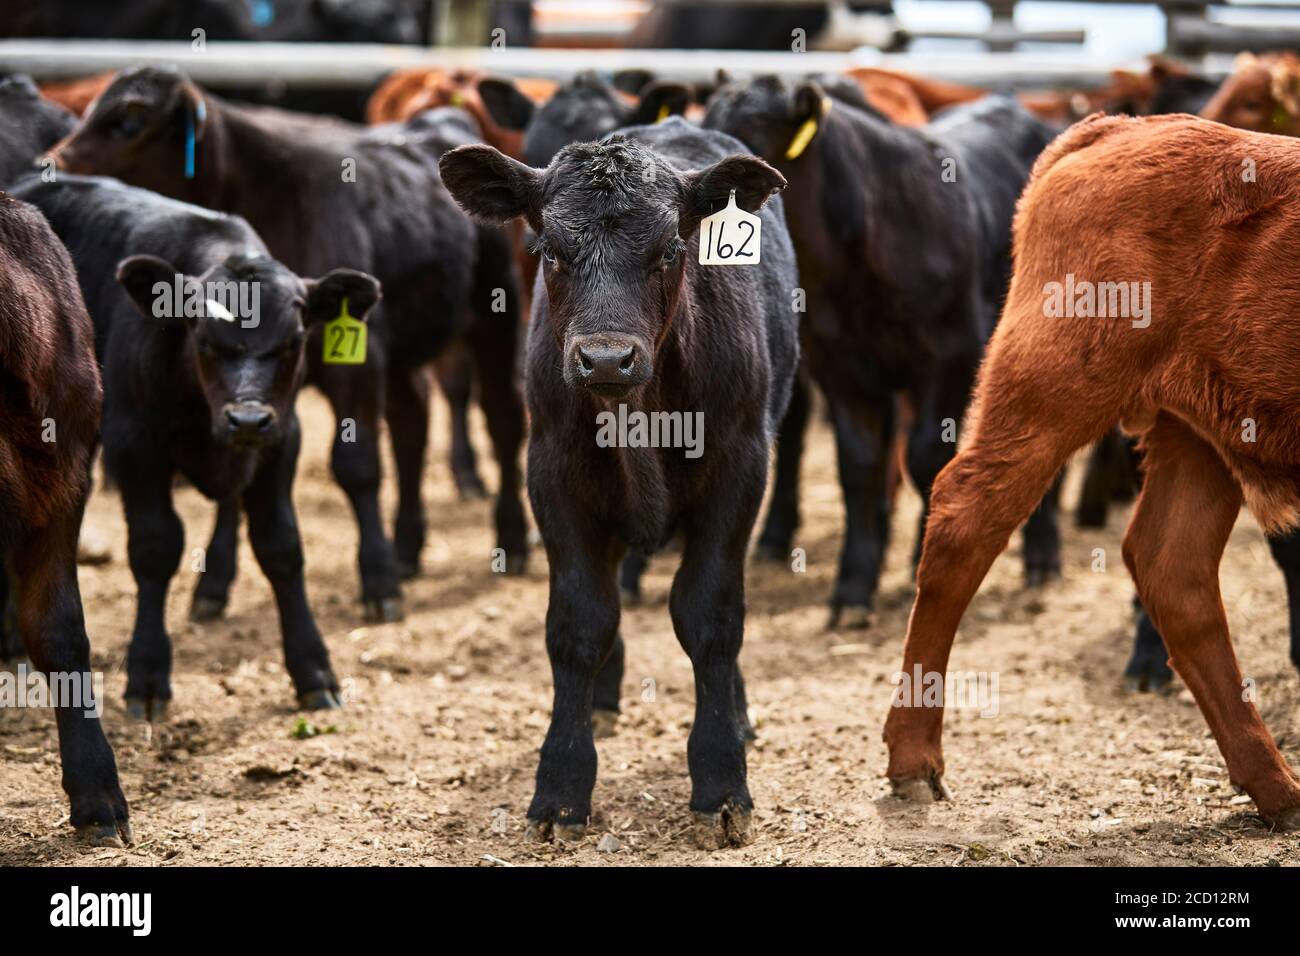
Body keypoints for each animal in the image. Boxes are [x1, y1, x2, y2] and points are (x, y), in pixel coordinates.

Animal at [47, 67, 522, 621]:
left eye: (129, 121)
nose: (51, 164)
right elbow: (237, 481)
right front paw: (214, 583)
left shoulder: (356, 365)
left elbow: (357, 467)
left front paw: (378, 582)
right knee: (412, 428)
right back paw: (407, 546)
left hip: (495, 321)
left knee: (503, 422)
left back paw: (510, 539)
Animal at [441, 115, 795, 848]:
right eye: (549, 249)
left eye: (669, 250)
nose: (606, 358)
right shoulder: (552, 475)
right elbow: (580, 623)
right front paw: (560, 786)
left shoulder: (741, 469)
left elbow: (711, 615)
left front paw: (722, 780)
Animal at [707, 78, 1060, 624]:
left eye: (754, 132)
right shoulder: (839, 366)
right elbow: (860, 466)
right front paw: (853, 588)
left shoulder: (949, 354)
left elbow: (926, 458)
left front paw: (924, 565)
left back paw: (1043, 559)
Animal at [883, 113, 1300, 832]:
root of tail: (1115, 128)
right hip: (1051, 392)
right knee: (964, 521)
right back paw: (915, 761)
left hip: (1197, 436)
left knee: (1172, 566)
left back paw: (1278, 790)